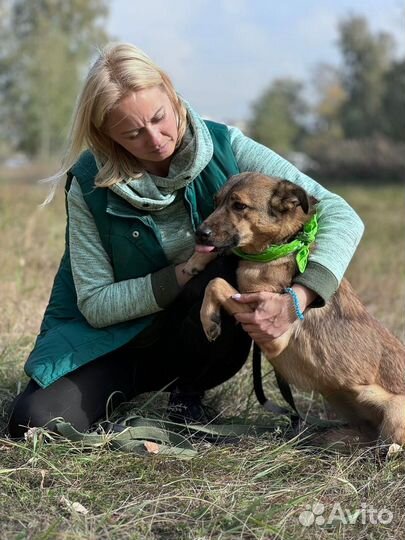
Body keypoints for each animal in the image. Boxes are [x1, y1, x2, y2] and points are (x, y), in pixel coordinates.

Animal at [185, 173, 404, 448]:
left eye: (239, 206)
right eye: (216, 202)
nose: (199, 234)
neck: (281, 246)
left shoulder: (271, 334)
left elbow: (216, 283)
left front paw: (209, 320)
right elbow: (221, 260)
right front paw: (194, 262)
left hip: (388, 405)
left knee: (388, 444)